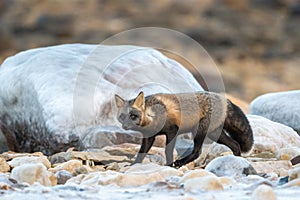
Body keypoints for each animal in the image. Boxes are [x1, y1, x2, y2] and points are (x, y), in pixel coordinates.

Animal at [115, 91, 253, 167]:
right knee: (235, 145)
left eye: (133, 116)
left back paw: (180, 162)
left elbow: (168, 151)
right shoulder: (149, 137)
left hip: (199, 132)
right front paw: (133, 164)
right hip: (215, 134)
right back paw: (236, 160)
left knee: (197, 152)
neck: (152, 116)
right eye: (122, 117)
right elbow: (141, 152)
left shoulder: (172, 131)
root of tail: (225, 99)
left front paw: (169, 165)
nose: (125, 126)